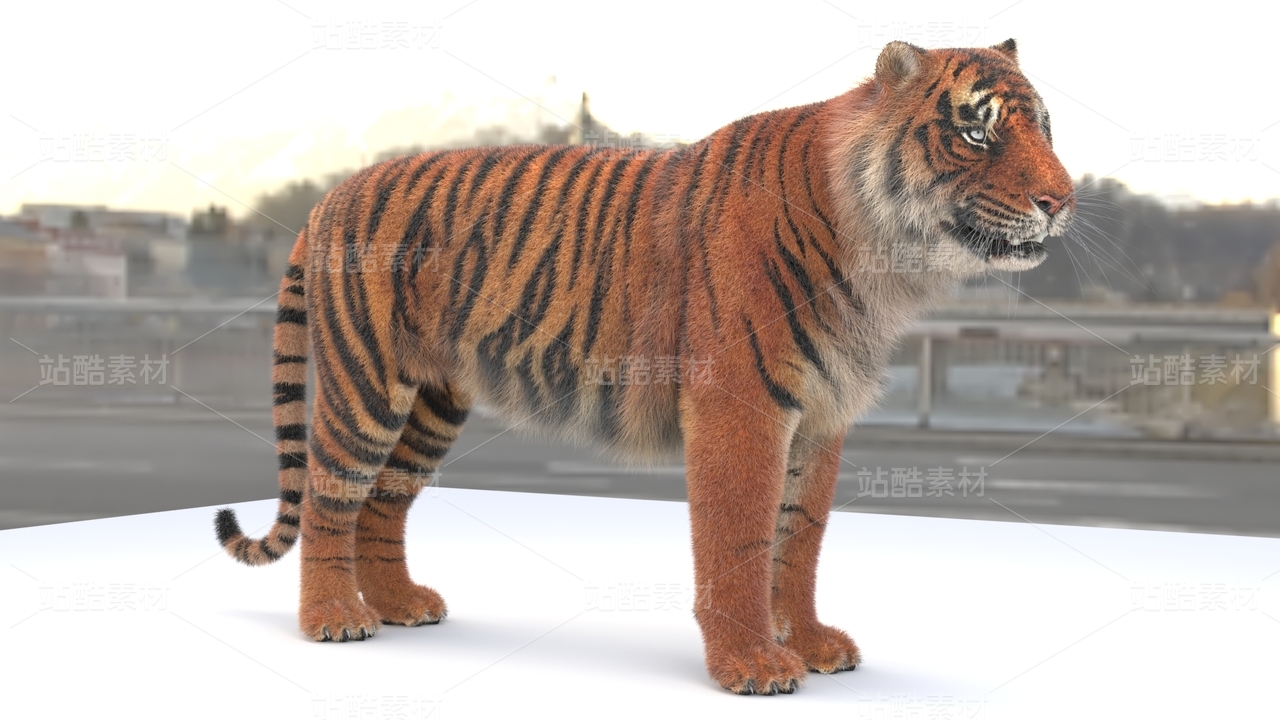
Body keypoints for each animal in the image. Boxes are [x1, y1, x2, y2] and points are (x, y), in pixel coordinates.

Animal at [214, 38, 1074, 695]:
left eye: (1045, 127)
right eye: (977, 134)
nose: (1061, 201)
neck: (885, 259)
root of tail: (333, 193)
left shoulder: (822, 420)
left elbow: (800, 542)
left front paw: (810, 644)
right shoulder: (741, 408)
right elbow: (739, 540)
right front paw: (753, 664)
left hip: (433, 402)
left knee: (383, 505)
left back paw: (400, 605)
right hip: (368, 384)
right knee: (332, 497)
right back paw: (333, 619)